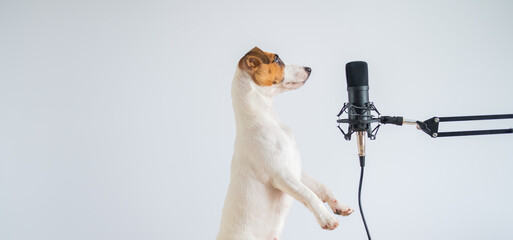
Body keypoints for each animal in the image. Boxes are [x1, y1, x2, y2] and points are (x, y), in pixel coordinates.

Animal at [216, 47, 352, 240]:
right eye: (277, 59)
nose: (309, 68)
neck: (268, 118)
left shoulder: (296, 170)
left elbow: (321, 187)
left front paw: (339, 205)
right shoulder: (280, 174)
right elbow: (309, 194)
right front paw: (326, 217)